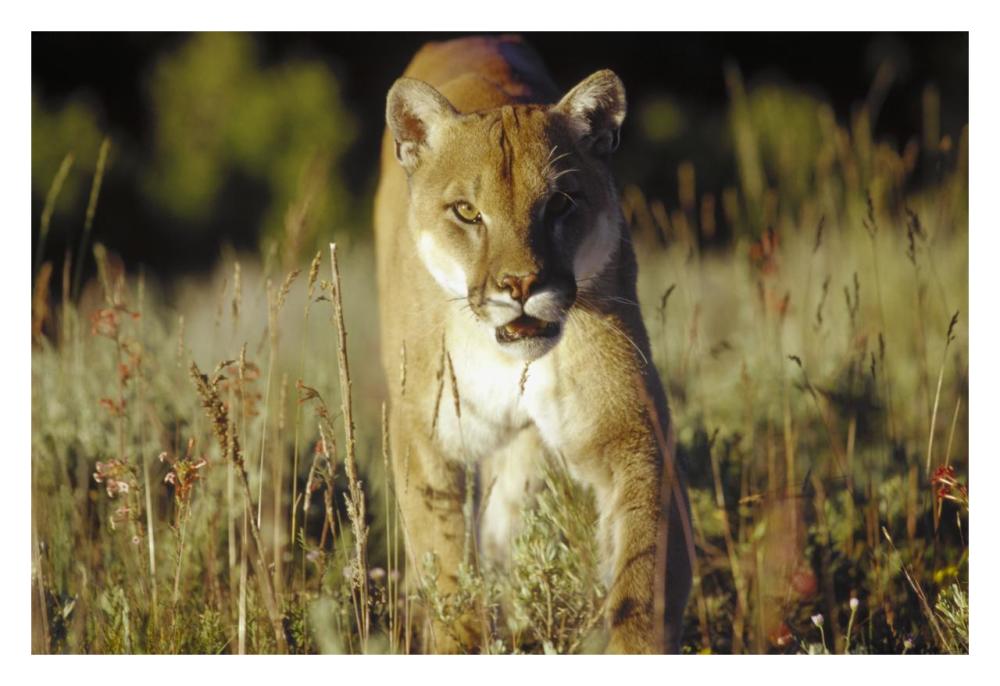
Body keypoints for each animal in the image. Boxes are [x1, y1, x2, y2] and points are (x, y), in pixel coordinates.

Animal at [374, 35, 692, 654]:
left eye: (561, 202)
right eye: (467, 212)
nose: (520, 285)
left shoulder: (631, 431)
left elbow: (643, 574)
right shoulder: (424, 436)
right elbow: (447, 571)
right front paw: (462, 640)